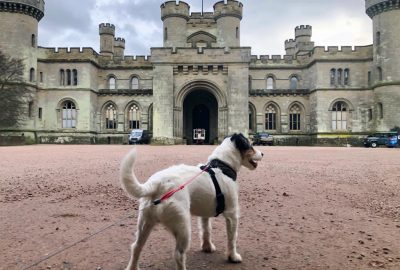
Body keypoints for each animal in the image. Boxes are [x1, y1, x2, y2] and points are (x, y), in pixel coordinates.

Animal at [120, 133, 264, 270]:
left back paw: (132, 267)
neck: (222, 166)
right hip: (183, 228)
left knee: (136, 247)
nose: (263, 153)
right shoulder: (232, 214)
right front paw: (233, 256)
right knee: (178, 255)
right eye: (250, 145)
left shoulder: (205, 214)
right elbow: (232, 238)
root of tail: (158, 183)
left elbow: (206, 230)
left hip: (145, 223)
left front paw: (207, 247)